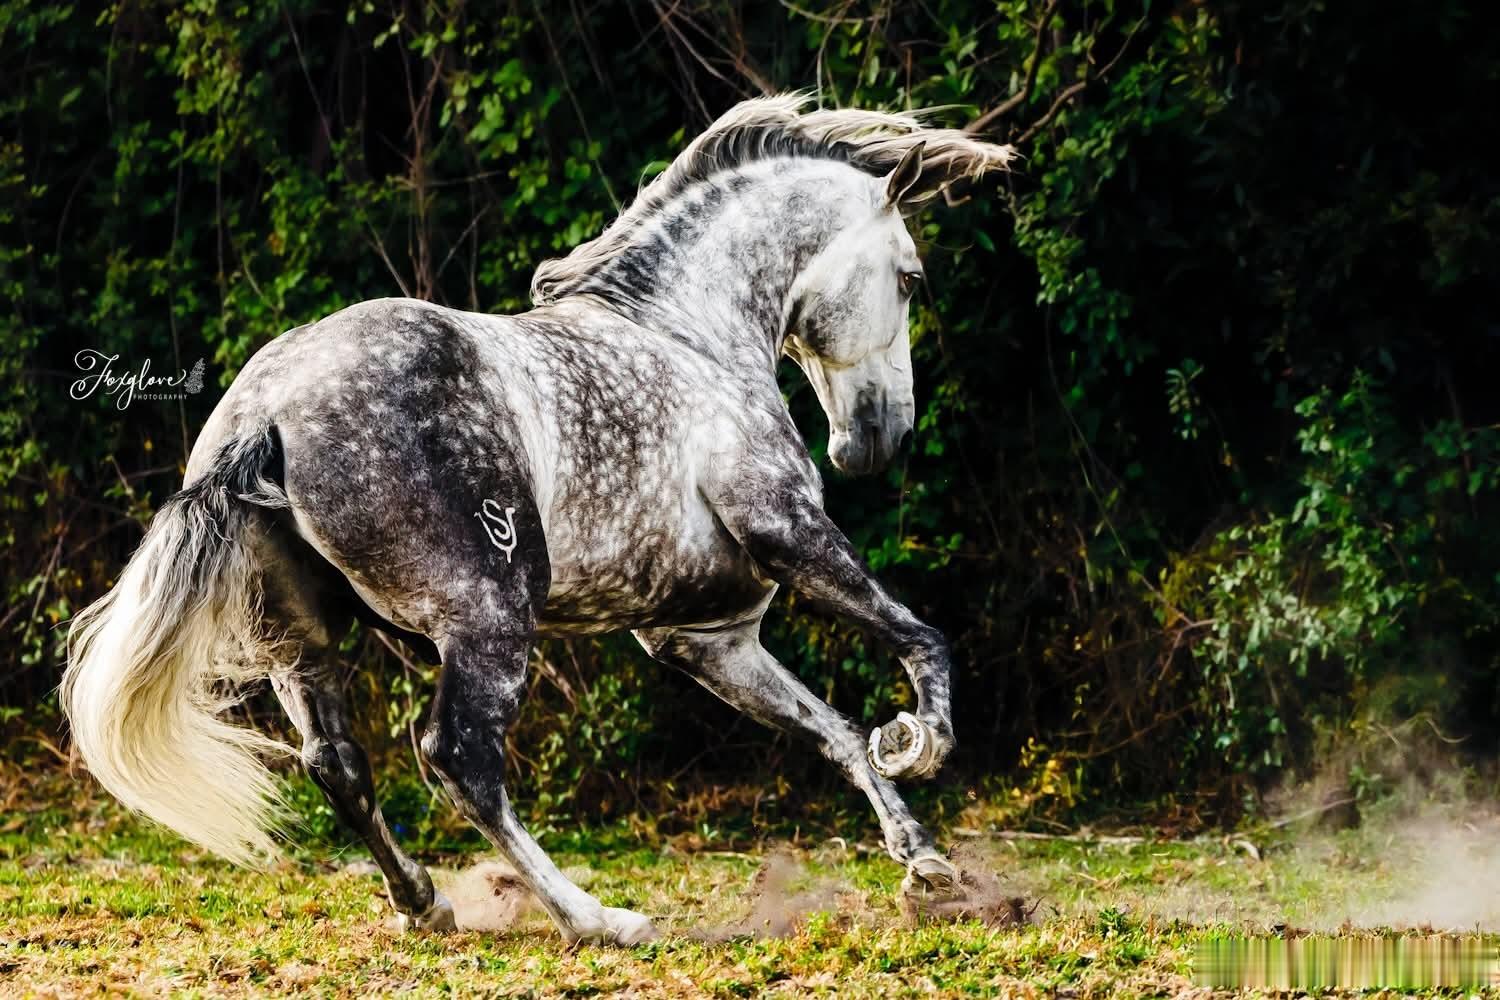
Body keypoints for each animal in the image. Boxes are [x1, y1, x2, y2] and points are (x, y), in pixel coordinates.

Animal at [61, 95, 1012, 945]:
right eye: (910, 278)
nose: (880, 441)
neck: (689, 337)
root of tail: (261, 414)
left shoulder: (708, 638)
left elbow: (834, 732)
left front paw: (925, 865)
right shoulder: (790, 532)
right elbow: (919, 638)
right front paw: (921, 744)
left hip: (303, 646)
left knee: (338, 763)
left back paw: (425, 905)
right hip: (490, 615)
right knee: (458, 758)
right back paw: (600, 920)